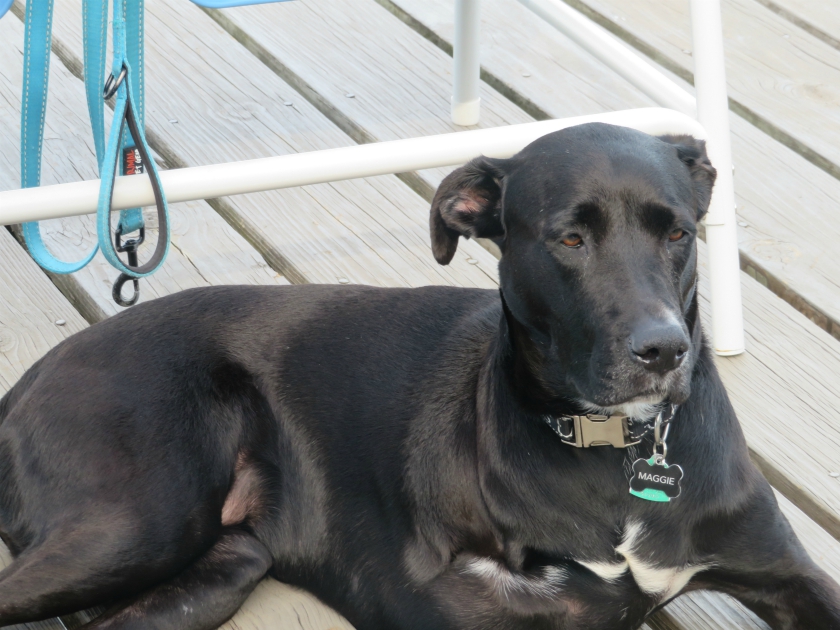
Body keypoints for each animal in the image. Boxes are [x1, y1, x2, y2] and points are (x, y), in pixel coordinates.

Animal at [0, 123, 838, 629]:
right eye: (569, 238)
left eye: (678, 233)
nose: (664, 351)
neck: (618, 453)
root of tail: (29, 379)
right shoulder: (438, 593)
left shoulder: (787, 573)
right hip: (135, 522)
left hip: (222, 565)